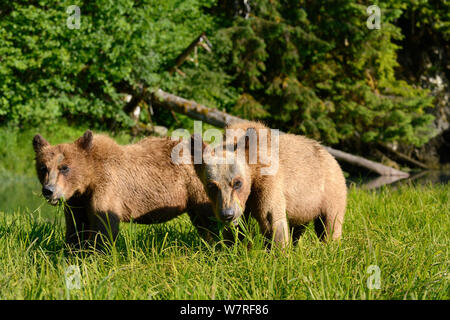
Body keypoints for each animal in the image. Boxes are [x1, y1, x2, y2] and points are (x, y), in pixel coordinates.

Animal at [32, 130, 215, 248]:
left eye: (64, 167)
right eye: (43, 167)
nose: (48, 190)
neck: (89, 181)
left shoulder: (108, 189)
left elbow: (104, 227)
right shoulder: (77, 202)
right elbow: (76, 228)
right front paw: (71, 253)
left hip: (198, 187)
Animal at [192, 122, 346, 248]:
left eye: (237, 183)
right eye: (212, 186)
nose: (227, 214)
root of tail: (331, 156)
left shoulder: (267, 182)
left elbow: (271, 218)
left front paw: (278, 251)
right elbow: (237, 228)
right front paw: (231, 246)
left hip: (330, 192)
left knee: (330, 224)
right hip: (304, 207)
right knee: (298, 227)